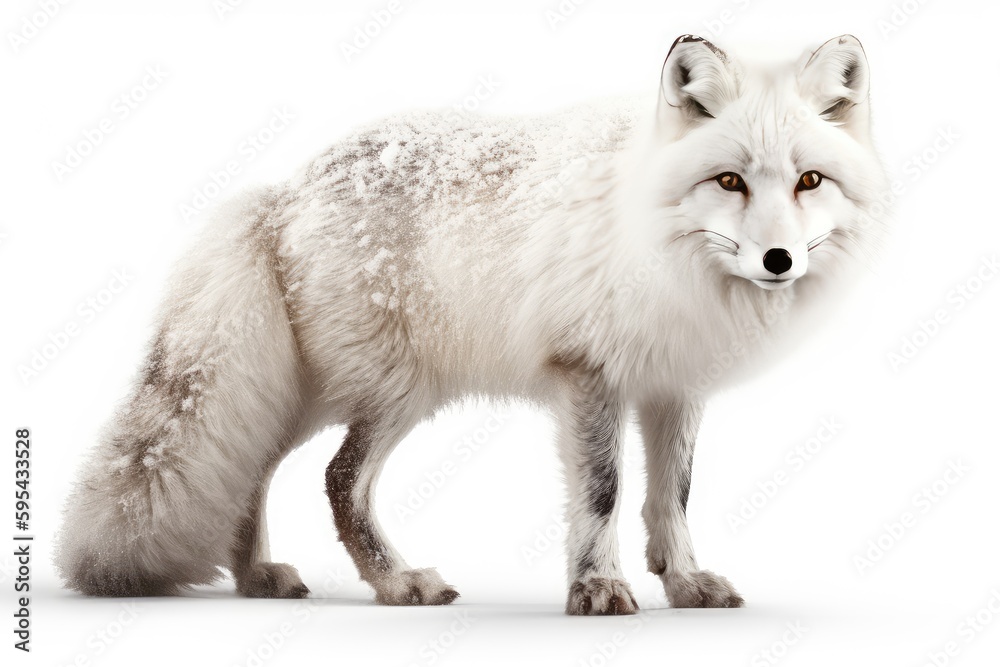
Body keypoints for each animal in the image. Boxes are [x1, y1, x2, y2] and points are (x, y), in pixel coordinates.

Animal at [56, 34, 888, 615]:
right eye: (730, 180)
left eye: (810, 181)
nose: (779, 260)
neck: (657, 243)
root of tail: (284, 190)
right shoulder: (588, 374)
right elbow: (603, 492)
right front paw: (596, 588)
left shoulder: (673, 385)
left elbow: (671, 497)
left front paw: (683, 581)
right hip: (396, 391)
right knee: (337, 479)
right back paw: (397, 582)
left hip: (318, 391)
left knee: (255, 465)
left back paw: (258, 574)